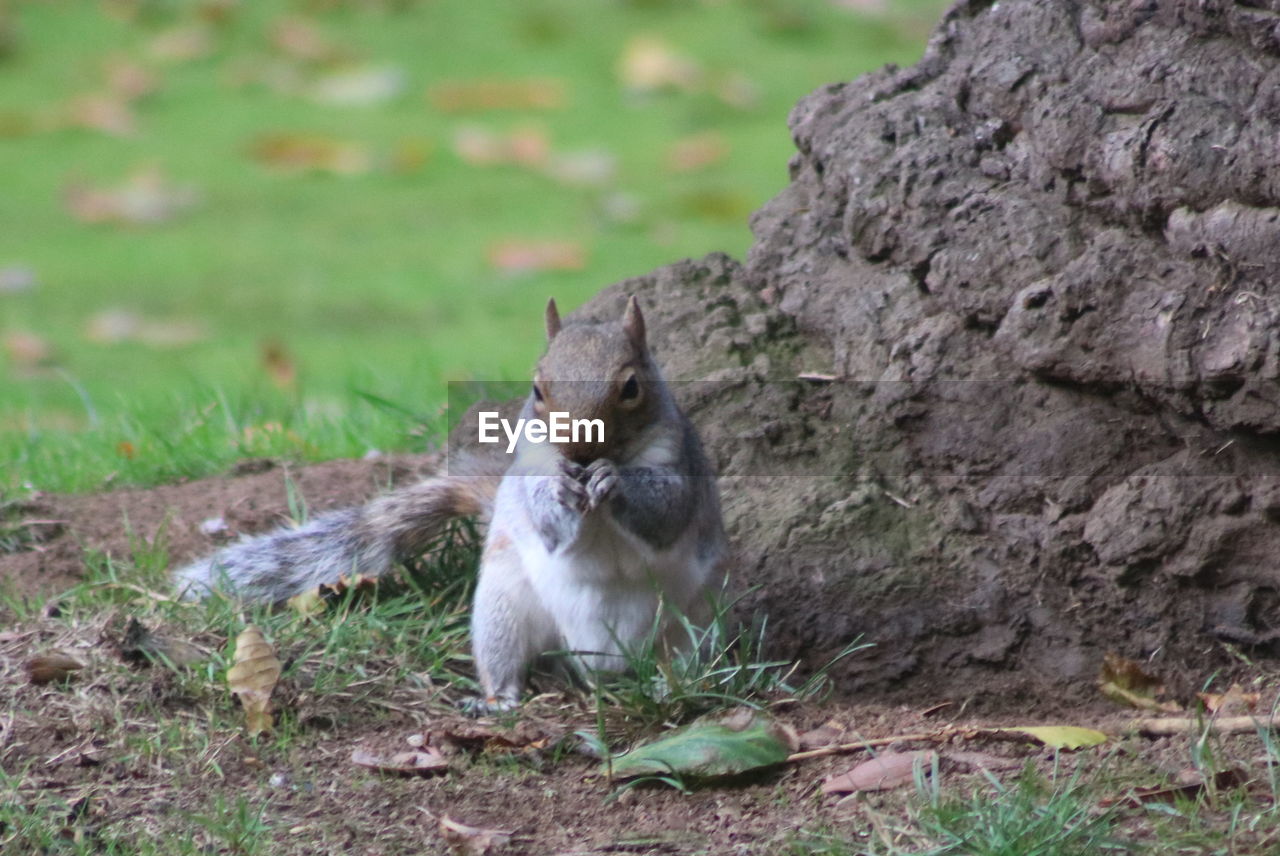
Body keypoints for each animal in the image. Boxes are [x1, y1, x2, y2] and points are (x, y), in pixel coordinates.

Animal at [175, 296, 727, 711]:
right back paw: (499, 700)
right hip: (503, 612)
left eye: (631, 386)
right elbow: (543, 516)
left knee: (682, 663)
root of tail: (602, 660)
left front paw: (616, 480)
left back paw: (669, 687)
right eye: (537, 388)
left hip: (693, 627)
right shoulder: (528, 469)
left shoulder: (679, 460)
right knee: (505, 662)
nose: (578, 450)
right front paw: (560, 492)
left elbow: (667, 508)